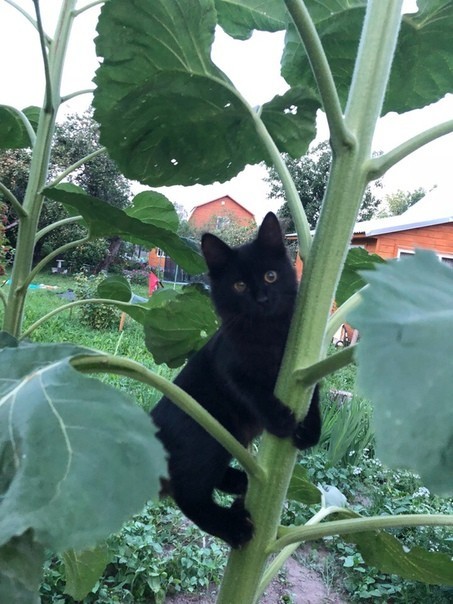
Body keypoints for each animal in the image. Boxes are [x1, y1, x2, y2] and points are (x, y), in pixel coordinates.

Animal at [150, 212, 320, 548]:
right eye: (239, 285)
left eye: (270, 276)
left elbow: (315, 392)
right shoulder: (229, 366)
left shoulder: (306, 360)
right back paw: (234, 527)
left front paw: (309, 430)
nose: (263, 298)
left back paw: (241, 483)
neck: (267, 335)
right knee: (190, 495)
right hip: (208, 437)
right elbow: (252, 391)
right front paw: (280, 419)